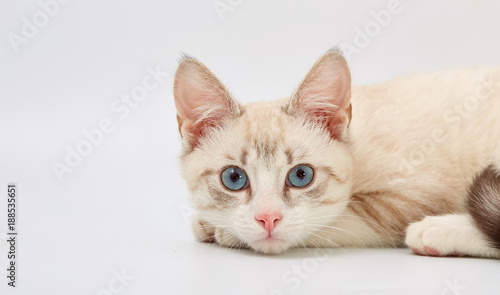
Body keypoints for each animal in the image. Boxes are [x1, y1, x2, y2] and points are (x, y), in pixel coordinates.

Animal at [173, 49, 500, 258]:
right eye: (234, 178)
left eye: (301, 175)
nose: (268, 218)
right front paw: (210, 223)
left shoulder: (410, 199)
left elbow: (332, 222)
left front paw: (223, 232)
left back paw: (436, 231)